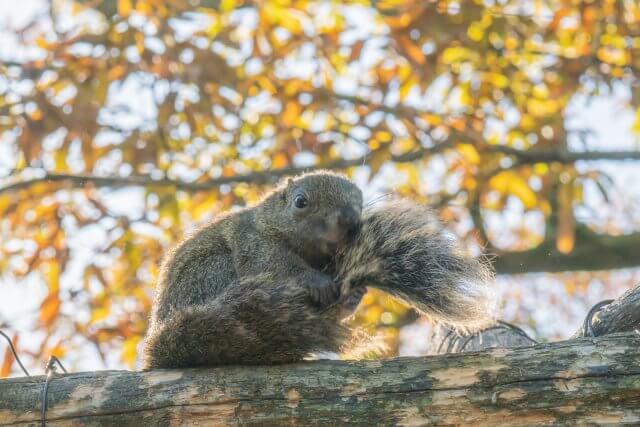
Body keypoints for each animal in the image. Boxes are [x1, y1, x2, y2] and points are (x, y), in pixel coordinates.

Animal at [144, 172, 496, 370]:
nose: (349, 220)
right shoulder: (254, 241)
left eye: (360, 202)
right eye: (301, 202)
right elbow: (273, 264)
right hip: (210, 274)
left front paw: (352, 295)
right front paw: (318, 282)